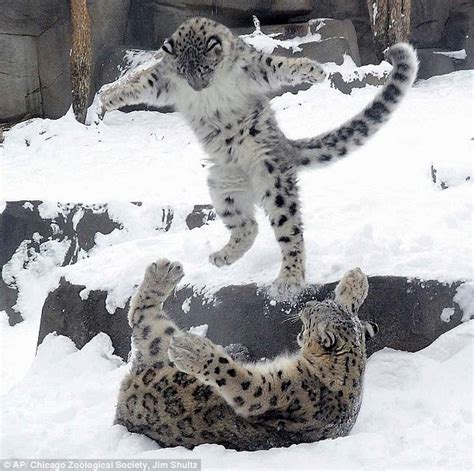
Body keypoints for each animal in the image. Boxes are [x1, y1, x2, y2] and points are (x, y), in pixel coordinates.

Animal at [96, 19, 418, 298]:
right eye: (184, 70)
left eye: (204, 67)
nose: (197, 86)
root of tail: (284, 146)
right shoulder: (163, 79)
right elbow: (140, 82)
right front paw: (109, 97)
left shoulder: (252, 66)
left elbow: (278, 65)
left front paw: (313, 70)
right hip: (222, 186)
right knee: (248, 225)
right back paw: (222, 256)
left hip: (272, 179)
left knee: (290, 232)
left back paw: (288, 279)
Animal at [114, 260, 378, 452]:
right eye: (321, 305)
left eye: (314, 313)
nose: (307, 305)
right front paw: (355, 281)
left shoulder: (274, 391)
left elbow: (234, 375)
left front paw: (198, 353)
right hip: (158, 342)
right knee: (140, 315)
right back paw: (164, 275)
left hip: (159, 343)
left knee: (140, 317)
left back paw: (185, 338)